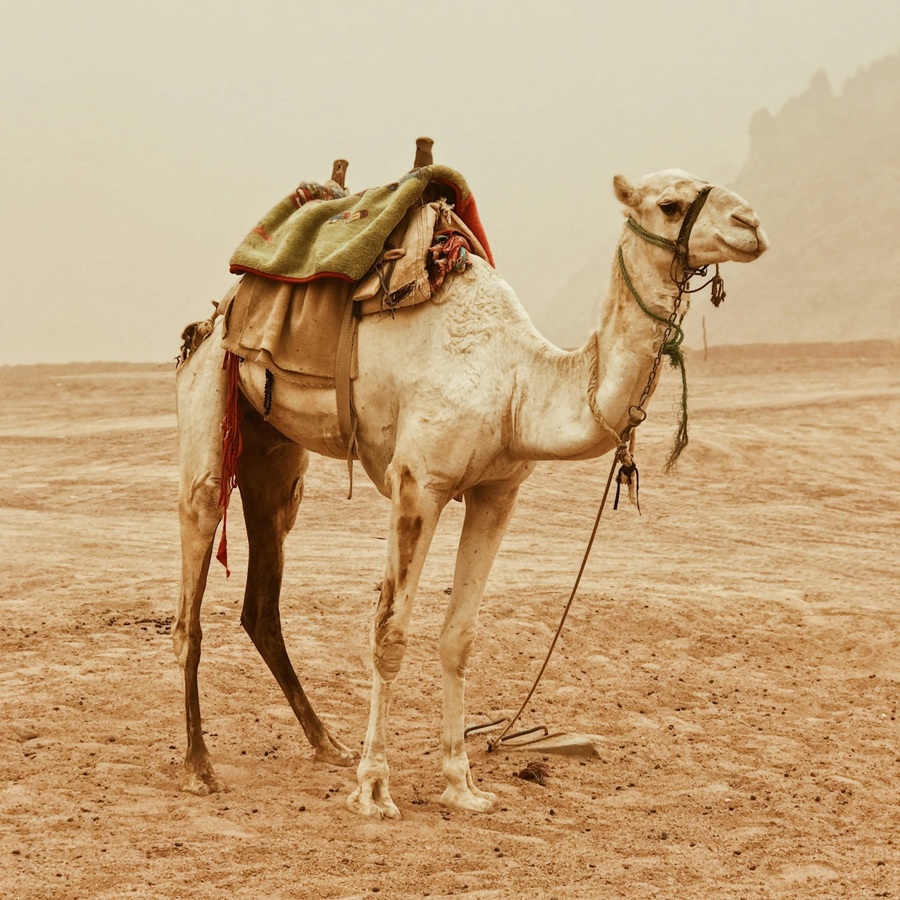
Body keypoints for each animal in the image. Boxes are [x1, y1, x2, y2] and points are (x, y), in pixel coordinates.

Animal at [173, 166, 768, 819]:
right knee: (192, 587)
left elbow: (458, 637)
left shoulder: (497, 492)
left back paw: (326, 742)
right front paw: (374, 788)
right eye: (669, 204)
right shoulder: (418, 483)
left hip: (275, 455)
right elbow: (388, 633)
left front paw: (462, 784)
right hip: (209, 400)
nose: (751, 225)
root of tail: (215, 315)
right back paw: (201, 766)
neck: (517, 385)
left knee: (262, 595)